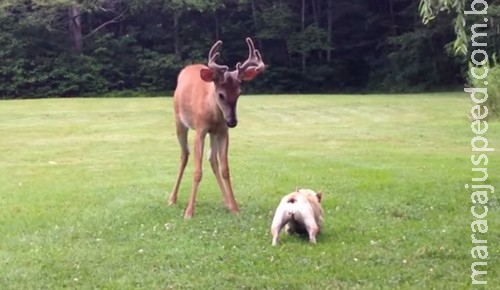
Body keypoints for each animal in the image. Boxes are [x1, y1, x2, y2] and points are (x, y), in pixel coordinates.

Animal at [168, 36, 266, 218]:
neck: (213, 114)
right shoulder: (200, 130)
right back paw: (172, 198)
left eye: (239, 93)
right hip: (179, 121)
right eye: (221, 95)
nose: (232, 122)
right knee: (184, 154)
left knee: (212, 158)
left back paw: (227, 201)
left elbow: (225, 169)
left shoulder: (222, 131)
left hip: (213, 133)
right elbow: (197, 171)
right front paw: (189, 212)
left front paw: (235, 208)